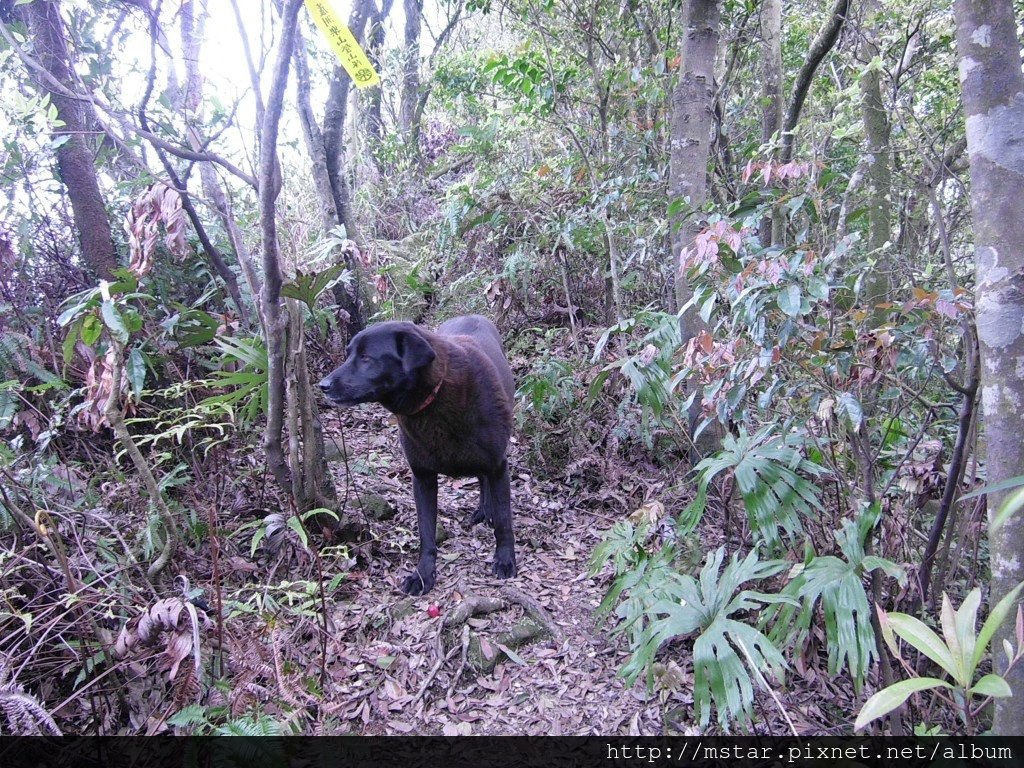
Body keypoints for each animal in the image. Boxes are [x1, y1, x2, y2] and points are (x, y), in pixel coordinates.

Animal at [317, 313, 516, 593]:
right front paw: (422, 574)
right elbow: (426, 532)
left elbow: (504, 521)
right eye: (348, 355)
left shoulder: (498, 465)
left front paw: (505, 560)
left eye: (366, 357)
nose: (322, 385)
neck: (435, 396)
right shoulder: (422, 477)